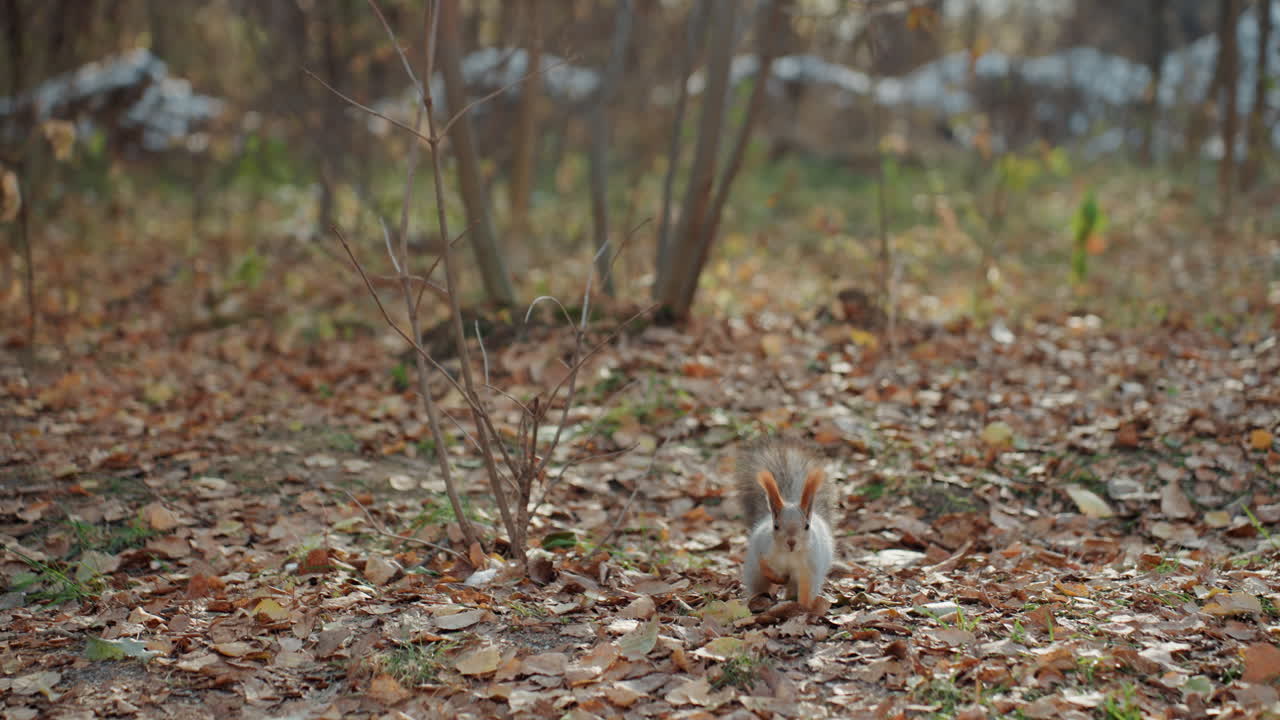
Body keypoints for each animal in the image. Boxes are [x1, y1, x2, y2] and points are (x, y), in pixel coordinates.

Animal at [737, 439, 835, 613]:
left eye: (807, 526)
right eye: (776, 526)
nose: (791, 542)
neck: (790, 556)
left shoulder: (809, 569)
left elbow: (806, 590)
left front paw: (803, 607)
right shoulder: (765, 553)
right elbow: (766, 568)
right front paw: (779, 579)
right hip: (754, 574)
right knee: (760, 586)